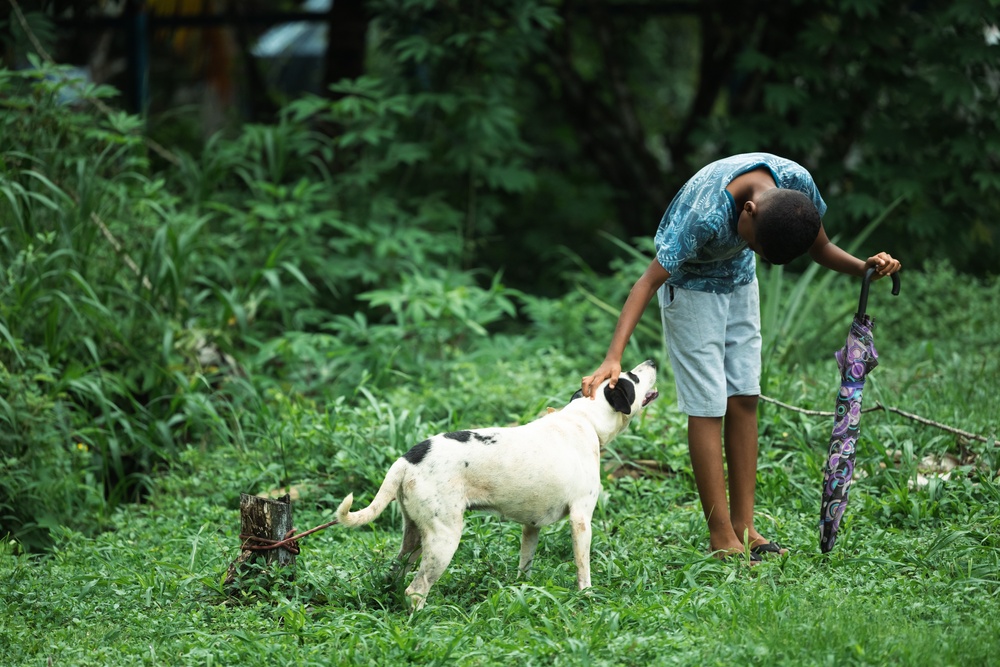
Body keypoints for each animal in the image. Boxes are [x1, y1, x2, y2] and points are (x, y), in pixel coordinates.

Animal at [336, 360, 656, 612]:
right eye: (633, 376)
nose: (652, 361)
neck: (584, 420)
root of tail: (407, 459)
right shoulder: (581, 520)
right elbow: (583, 567)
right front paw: (587, 596)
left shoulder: (531, 526)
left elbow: (525, 563)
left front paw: (523, 590)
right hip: (444, 539)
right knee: (416, 589)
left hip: (414, 536)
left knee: (395, 573)